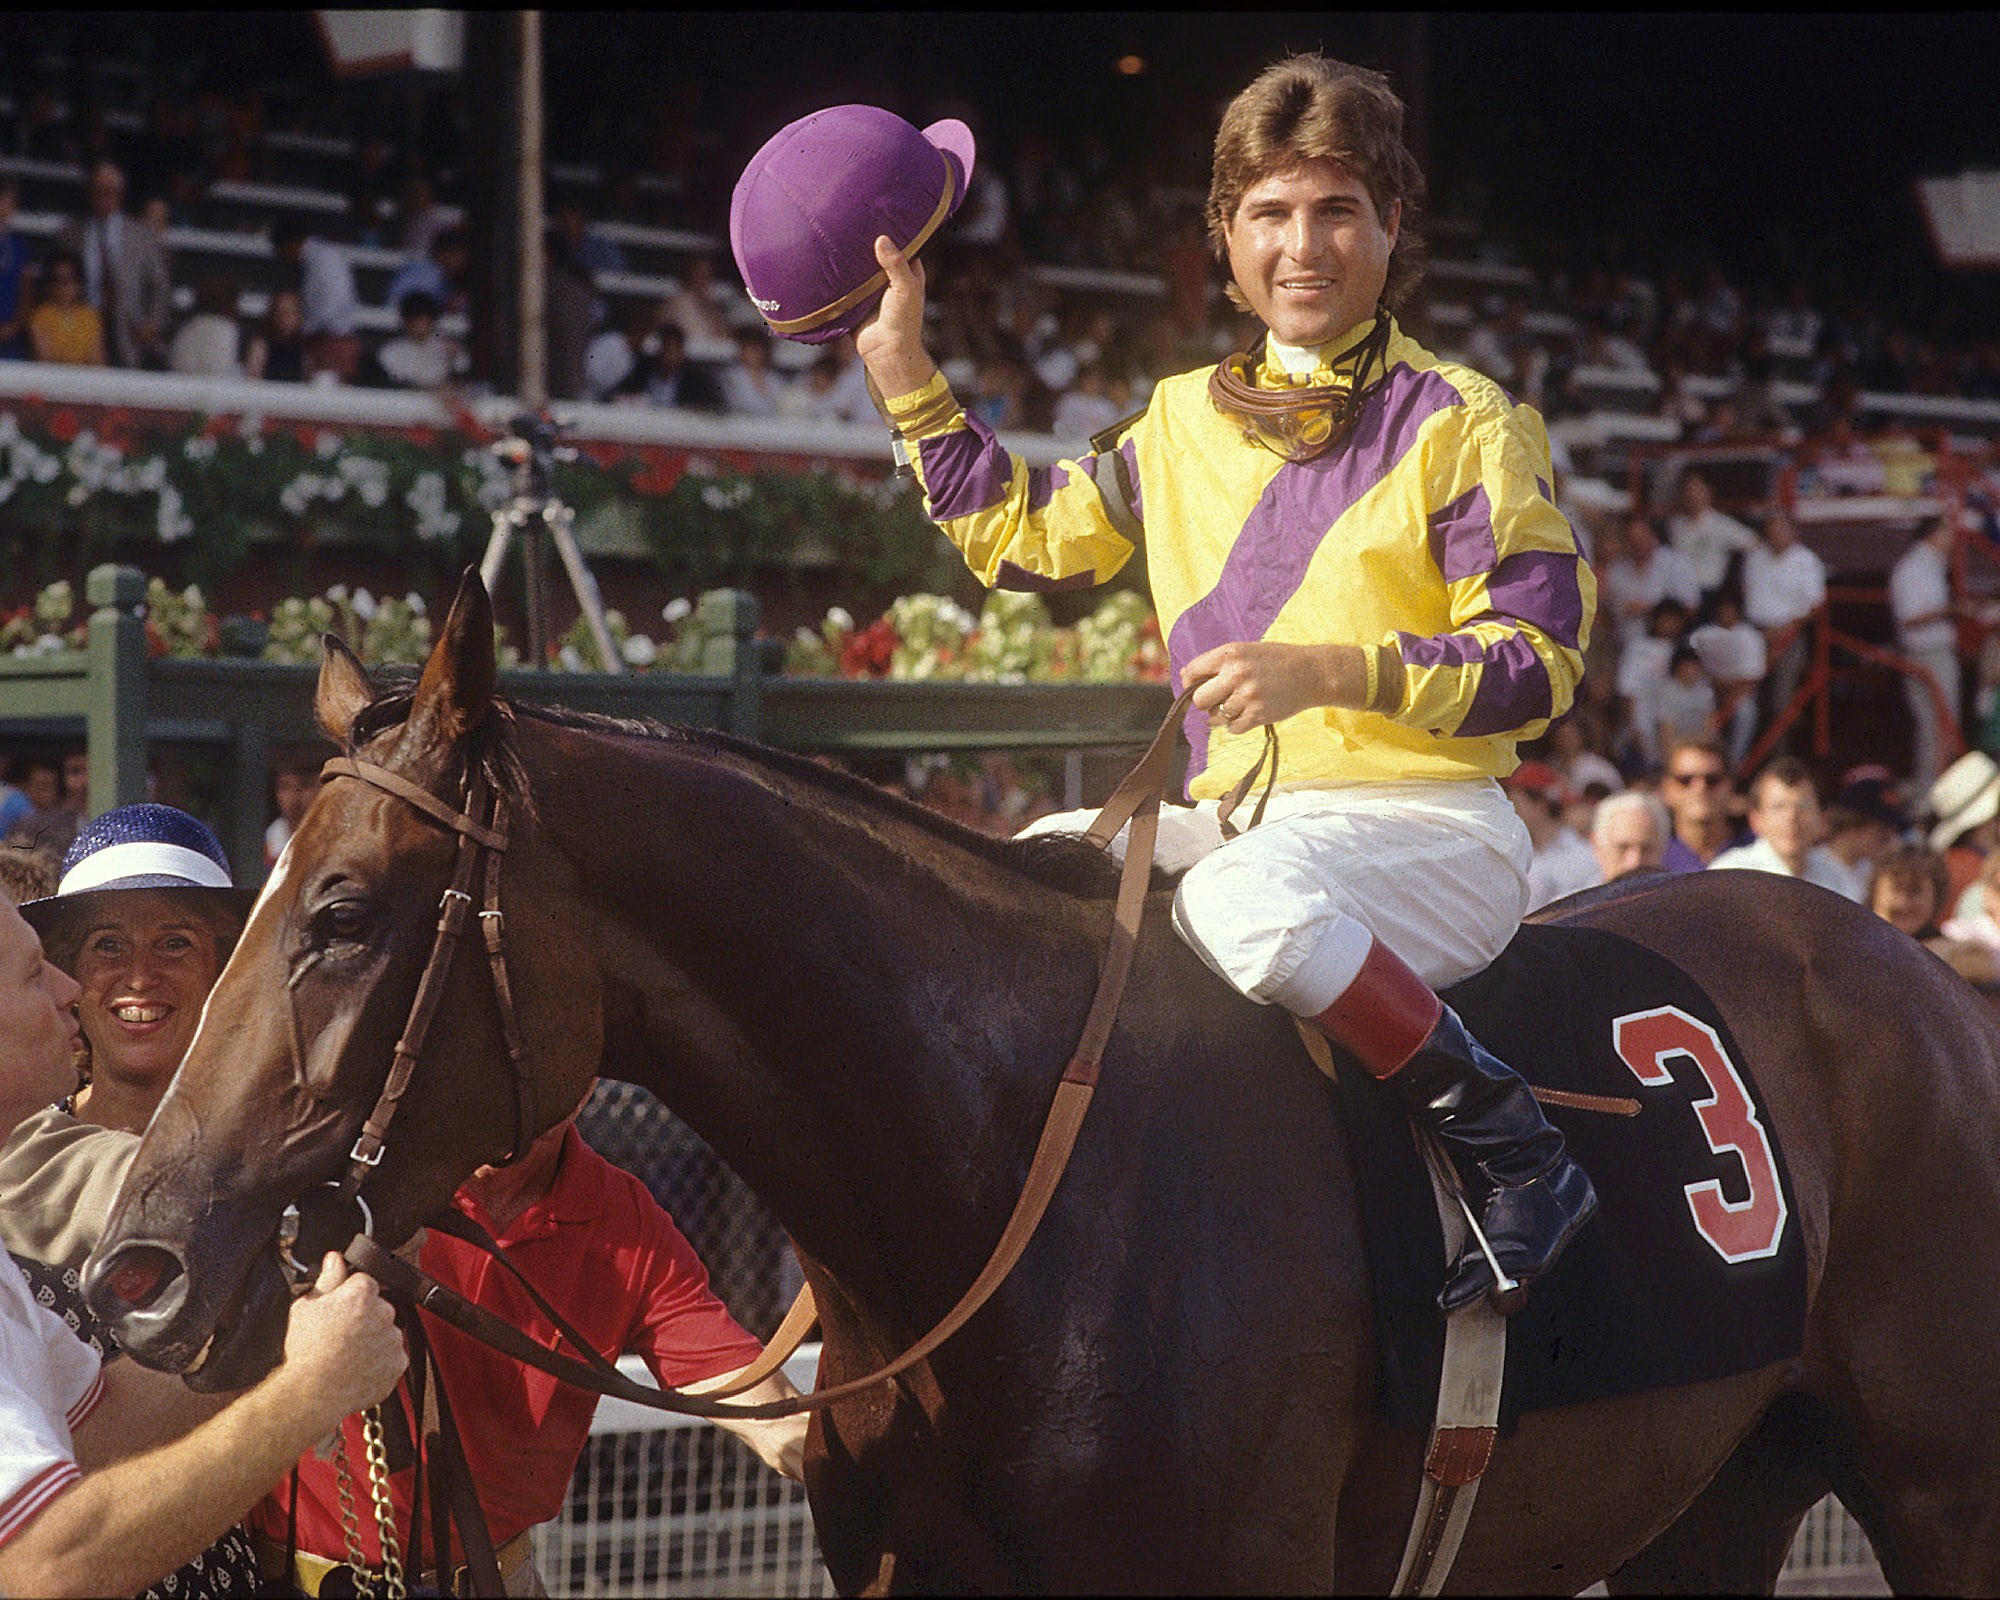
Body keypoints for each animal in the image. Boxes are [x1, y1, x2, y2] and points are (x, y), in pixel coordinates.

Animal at [86, 580, 2000, 1592]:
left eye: (341, 913)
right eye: (255, 896)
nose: (136, 1267)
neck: (1001, 1178)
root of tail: (1921, 975)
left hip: (1935, 1485)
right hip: (1719, 1489)